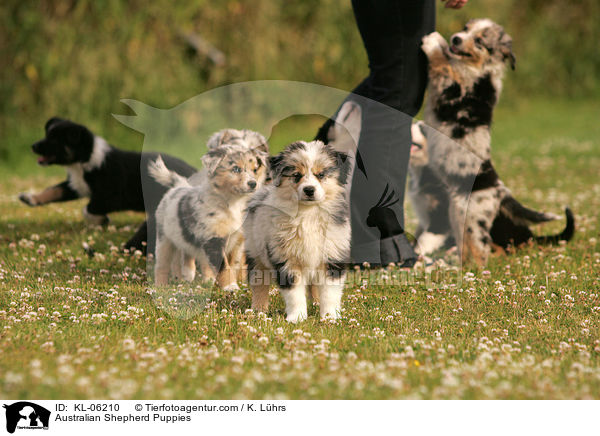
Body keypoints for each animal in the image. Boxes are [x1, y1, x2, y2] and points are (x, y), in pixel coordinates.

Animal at [18, 117, 195, 254]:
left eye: (55, 140)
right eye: (47, 135)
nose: (33, 146)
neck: (85, 159)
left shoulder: (110, 195)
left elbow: (87, 208)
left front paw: (101, 220)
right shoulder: (77, 184)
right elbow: (55, 189)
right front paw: (30, 198)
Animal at [241, 141, 350, 322]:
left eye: (321, 174)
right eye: (296, 175)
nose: (309, 190)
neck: (308, 213)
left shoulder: (332, 254)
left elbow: (330, 293)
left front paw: (329, 317)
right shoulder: (286, 258)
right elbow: (294, 294)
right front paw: (296, 318)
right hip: (255, 252)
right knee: (259, 283)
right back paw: (258, 310)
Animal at [420, 19, 576, 266]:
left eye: (480, 41)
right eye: (465, 28)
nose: (455, 39)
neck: (477, 70)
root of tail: (500, 190)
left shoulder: (451, 91)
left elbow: (442, 66)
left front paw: (434, 43)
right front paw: (442, 44)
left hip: (474, 220)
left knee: (480, 253)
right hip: (458, 217)